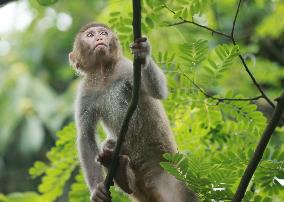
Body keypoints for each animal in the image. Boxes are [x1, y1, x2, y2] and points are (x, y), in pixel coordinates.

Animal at [69, 22, 197, 201]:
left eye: (103, 33)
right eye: (90, 35)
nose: (99, 38)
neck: (103, 74)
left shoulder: (127, 68)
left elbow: (157, 91)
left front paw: (143, 52)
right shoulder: (86, 91)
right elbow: (85, 135)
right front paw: (96, 189)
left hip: (174, 177)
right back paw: (120, 171)